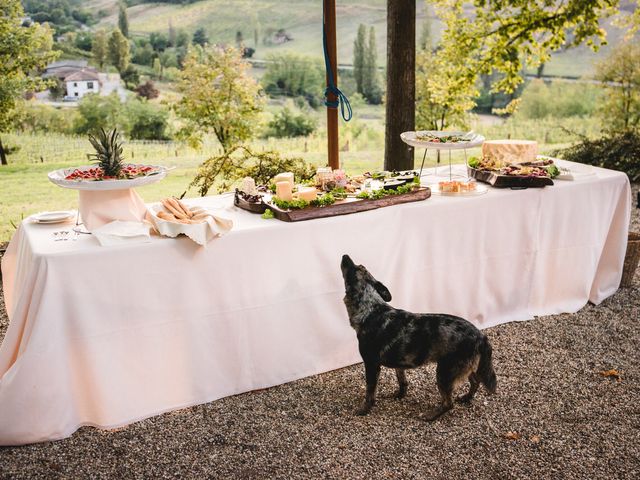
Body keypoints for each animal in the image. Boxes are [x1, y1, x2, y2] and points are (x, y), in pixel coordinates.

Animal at [340, 255, 496, 420]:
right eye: (359, 266)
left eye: (352, 269)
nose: (345, 255)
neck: (371, 310)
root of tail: (481, 336)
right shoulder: (399, 362)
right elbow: (402, 382)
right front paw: (399, 396)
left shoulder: (371, 364)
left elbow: (370, 393)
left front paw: (364, 410)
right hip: (464, 367)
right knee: (475, 382)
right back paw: (466, 398)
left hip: (445, 373)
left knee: (449, 403)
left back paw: (431, 416)